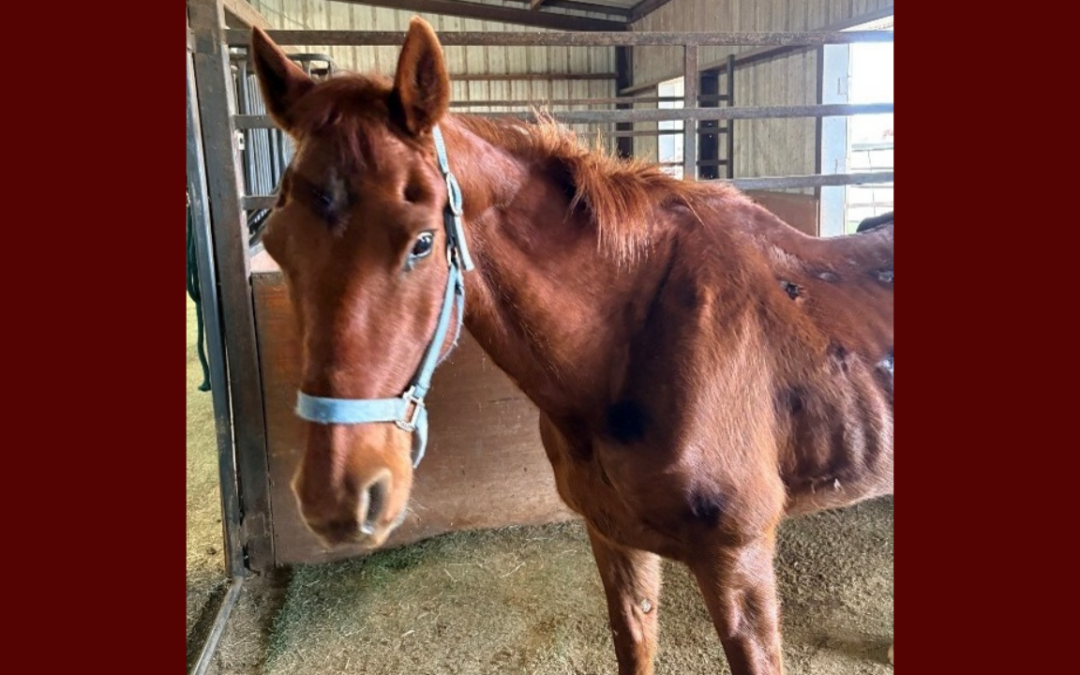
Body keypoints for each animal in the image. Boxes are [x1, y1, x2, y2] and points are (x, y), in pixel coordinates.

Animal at [249, 18, 893, 675]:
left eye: (422, 242)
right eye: (274, 244)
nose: (337, 497)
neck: (635, 342)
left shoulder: (739, 562)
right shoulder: (615, 541)